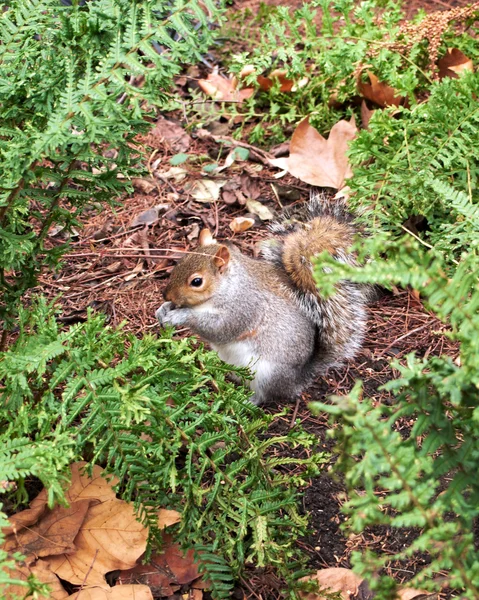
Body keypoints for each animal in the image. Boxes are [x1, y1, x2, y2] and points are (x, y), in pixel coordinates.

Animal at [156, 195, 374, 406]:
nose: (167, 295)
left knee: (267, 394)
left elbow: (219, 328)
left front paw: (181, 315)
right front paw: (163, 309)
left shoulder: (245, 307)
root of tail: (297, 379)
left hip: (267, 374)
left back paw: (248, 400)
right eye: (178, 263)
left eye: (197, 281)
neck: (227, 288)